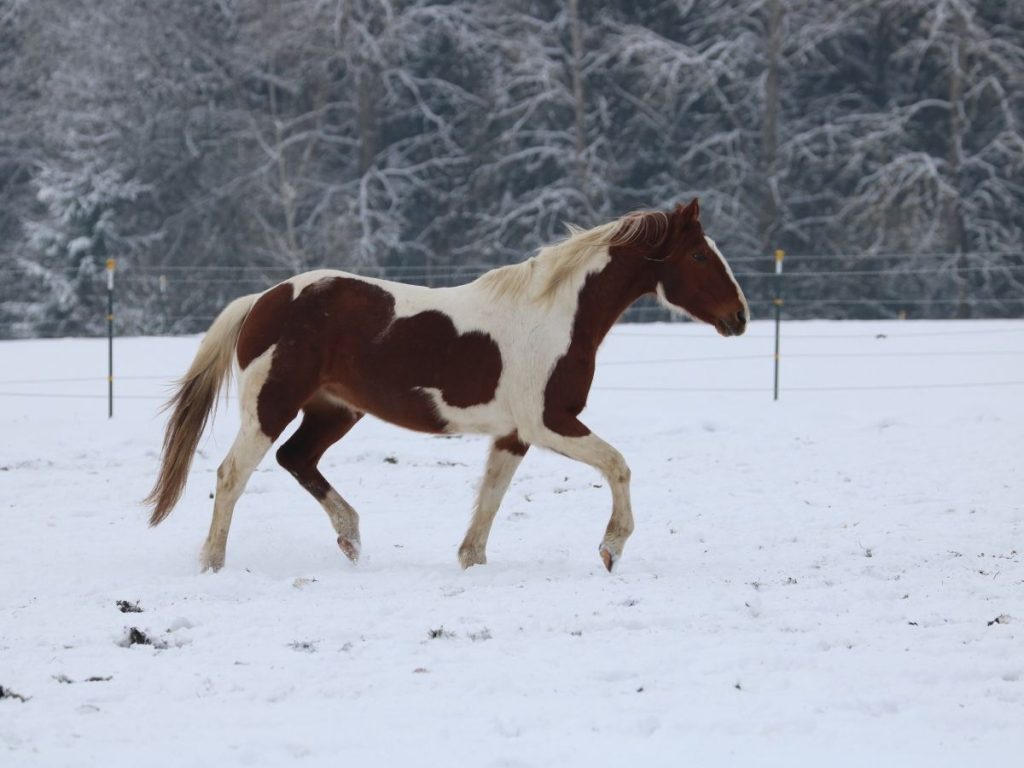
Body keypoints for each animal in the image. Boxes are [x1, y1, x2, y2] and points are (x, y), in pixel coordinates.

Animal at [145, 198, 748, 572]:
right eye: (699, 254)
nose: (739, 317)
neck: (556, 315)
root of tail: (264, 300)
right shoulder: (549, 423)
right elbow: (619, 465)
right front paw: (611, 548)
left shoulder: (514, 434)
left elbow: (491, 498)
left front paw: (471, 561)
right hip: (271, 406)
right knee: (232, 474)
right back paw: (213, 562)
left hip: (334, 410)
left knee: (296, 459)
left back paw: (351, 538)